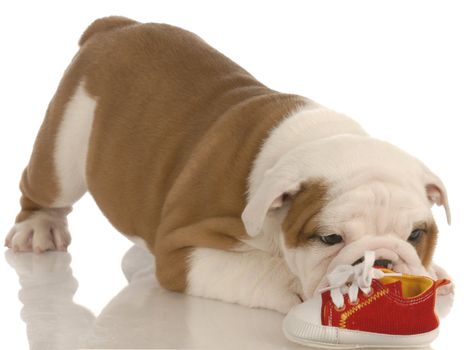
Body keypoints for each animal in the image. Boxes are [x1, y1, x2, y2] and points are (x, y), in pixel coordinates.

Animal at [6, 16, 452, 314]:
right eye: (330, 239)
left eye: (416, 235)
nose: (382, 262)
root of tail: (115, 27)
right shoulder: (183, 251)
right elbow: (260, 271)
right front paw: (297, 286)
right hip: (66, 144)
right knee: (43, 188)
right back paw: (38, 228)